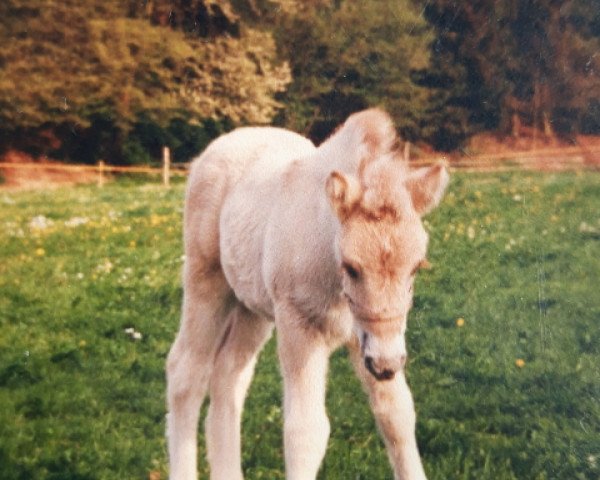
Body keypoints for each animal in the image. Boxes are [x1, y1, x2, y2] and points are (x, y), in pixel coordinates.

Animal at [166, 109, 448, 480]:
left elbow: (397, 416)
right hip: (206, 281)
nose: (387, 365)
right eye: (351, 267)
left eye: (416, 267)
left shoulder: (369, 338)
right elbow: (305, 432)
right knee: (186, 372)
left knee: (229, 376)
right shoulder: (300, 328)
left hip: (252, 307)